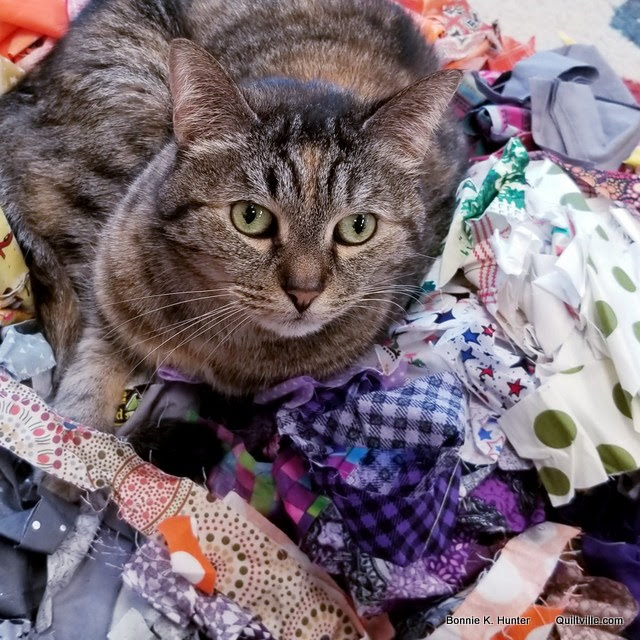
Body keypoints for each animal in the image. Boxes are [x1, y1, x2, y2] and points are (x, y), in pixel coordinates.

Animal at [0, 0, 466, 435]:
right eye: (250, 217)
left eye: (357, 227)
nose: (304, 292)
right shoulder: (107, 298)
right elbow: (89, 372)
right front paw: (77, 441)